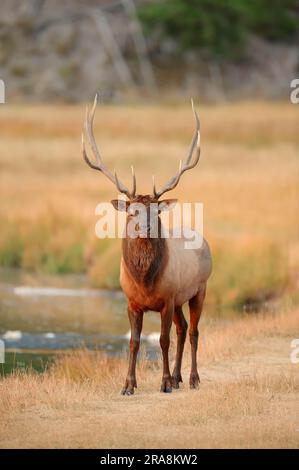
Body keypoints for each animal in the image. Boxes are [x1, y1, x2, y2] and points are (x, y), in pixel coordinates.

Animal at [83, 97, 212, 394]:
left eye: (156, 211)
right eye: (133, 211)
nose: (146, 227)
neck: (145, 281)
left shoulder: (167, 299)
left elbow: (163, 340)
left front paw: (163, 382)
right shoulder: (132, 302)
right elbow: (134, 341)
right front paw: (128, 385)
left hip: (199, 288)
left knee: (192, 331)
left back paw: (191, 378)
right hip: (180, 300)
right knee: (182, 328)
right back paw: (177, 377)